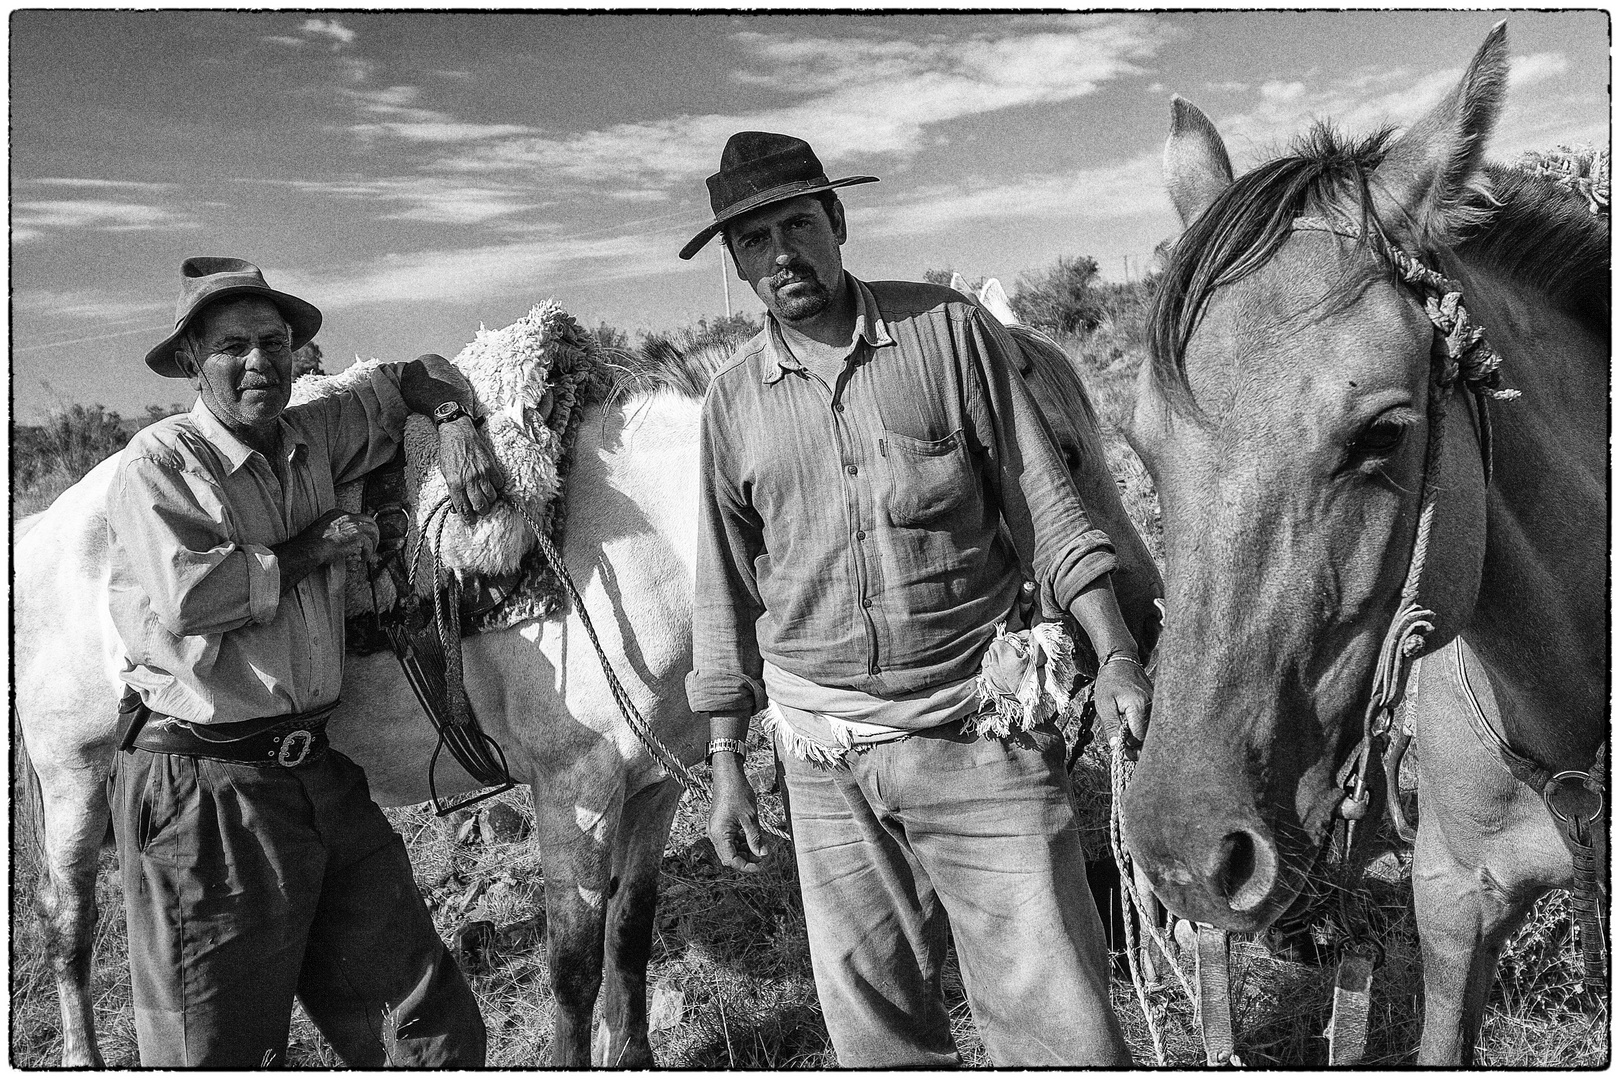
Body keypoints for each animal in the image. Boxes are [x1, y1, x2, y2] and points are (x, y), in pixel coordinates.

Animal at [9, 289, 1153, 1075]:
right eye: (1051, 446)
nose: (1138, 619)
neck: (647, 548)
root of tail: (47, 525)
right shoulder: (574, 797)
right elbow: (568, 962)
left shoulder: (650, 791)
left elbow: (632, 934)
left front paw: (633, 1052)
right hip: (71, 769)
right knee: (68, 921)